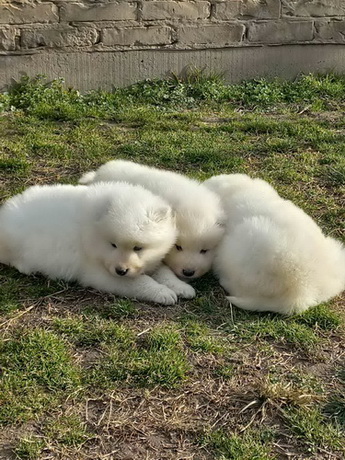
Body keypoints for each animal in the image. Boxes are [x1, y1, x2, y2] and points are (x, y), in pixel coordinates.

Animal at [0, 181, 188, 306]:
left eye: (138, 248)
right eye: (113, 245)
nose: (121, 270)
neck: (89, 233)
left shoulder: (151, 261)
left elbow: (163, 271)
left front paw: (181, 287)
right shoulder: (100, 274)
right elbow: (139, 283)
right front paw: (163, 292)